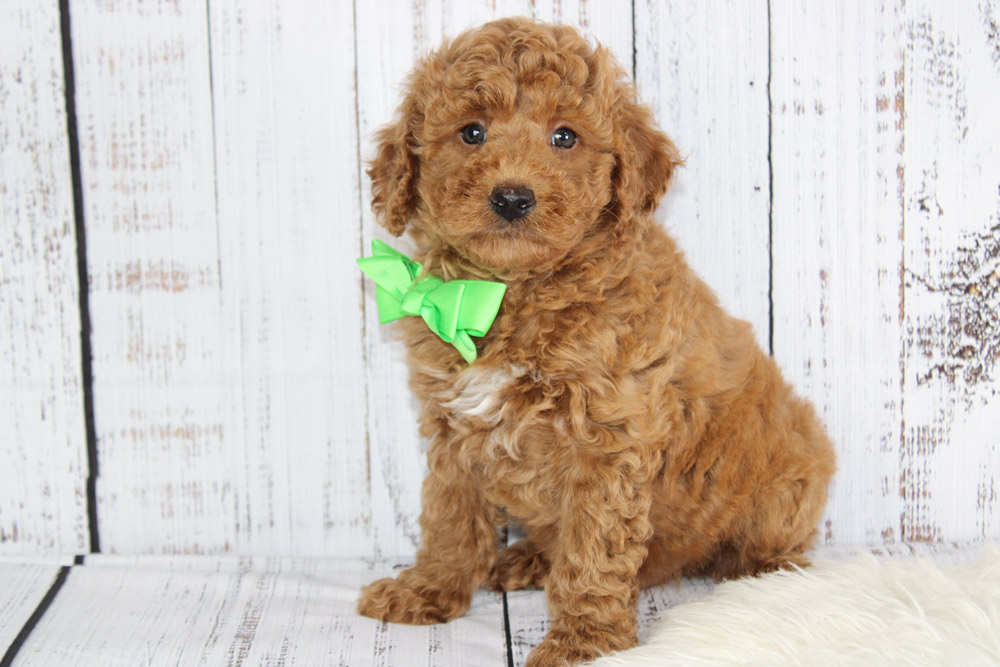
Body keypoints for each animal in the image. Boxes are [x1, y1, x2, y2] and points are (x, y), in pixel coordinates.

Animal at [357, 17, 836, 667]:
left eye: (565, 136)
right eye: (471, 132)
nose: (512, 197)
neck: (512, 292)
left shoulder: (610, 439)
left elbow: (593, 545)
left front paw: (584, 641)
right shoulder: (453, 427)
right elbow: (450, 517)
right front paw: (429, 590)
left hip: (785, 483)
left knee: (770, 549)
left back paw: (767, 582)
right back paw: (529, 559)